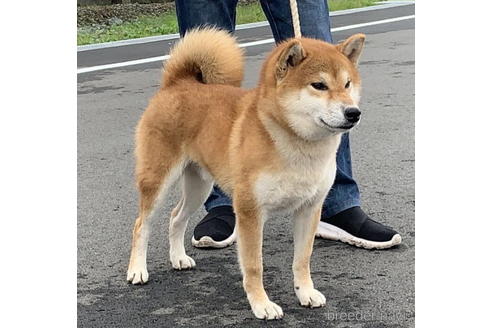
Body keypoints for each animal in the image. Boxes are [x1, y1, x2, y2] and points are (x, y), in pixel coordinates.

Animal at [127, 28, 366, 320]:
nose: (353, 112)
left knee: (176, 217)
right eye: (319, 85)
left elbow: (302, 259)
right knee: (142, 225)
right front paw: (261, 304)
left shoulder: (309, 208)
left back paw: (178, 258)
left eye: (347, 84)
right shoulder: (250, 211)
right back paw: (137, 270)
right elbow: (254, 265)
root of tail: (177, 84)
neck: (296, 146)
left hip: (199, 186)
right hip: (158, 179)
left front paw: (305, 292)